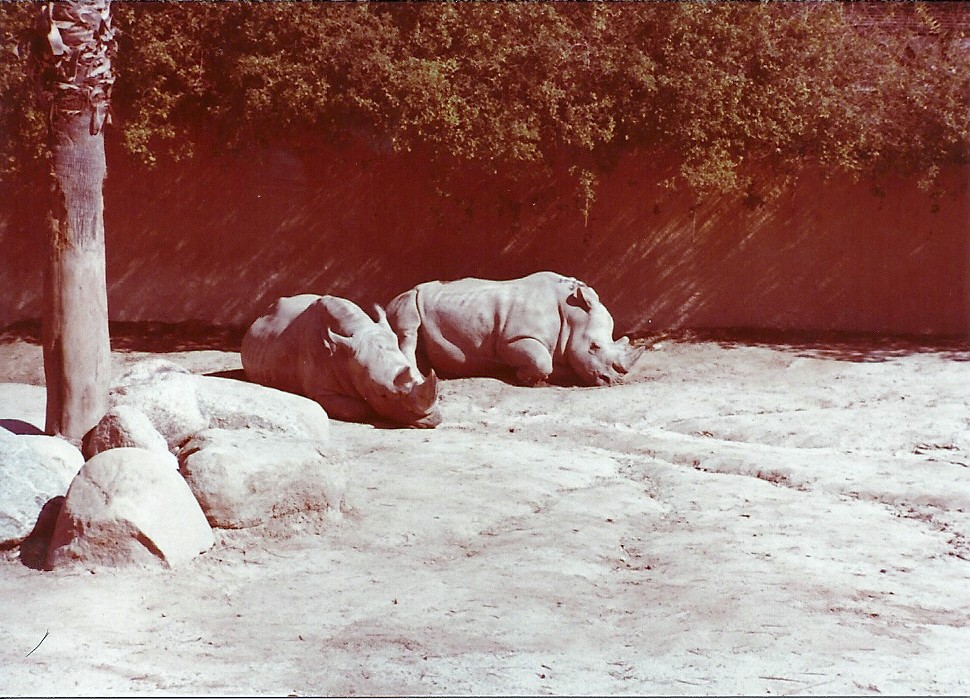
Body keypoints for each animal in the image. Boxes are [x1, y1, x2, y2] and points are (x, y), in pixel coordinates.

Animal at [385, 272, 642, 387]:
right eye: (594, 346)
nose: (614, 380)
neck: (573, 315)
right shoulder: (513, 339)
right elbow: (541, 361)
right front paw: (523, 377)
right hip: (409, 297)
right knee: (409, 326)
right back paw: (418, 377)